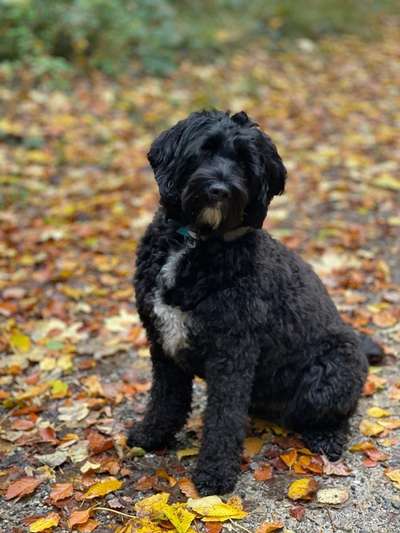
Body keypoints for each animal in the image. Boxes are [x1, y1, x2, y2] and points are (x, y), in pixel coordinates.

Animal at [129, 109, 384, 494]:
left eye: (245, 163)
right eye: (205, 150)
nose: (219, 190)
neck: (196, 243)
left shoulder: (232, 354)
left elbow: (223, 419)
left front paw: (215, 473)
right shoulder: (162, 343)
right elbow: (166, 398)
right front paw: (151, 435)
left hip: (329, 374)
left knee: (338, 414)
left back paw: (325, 437)